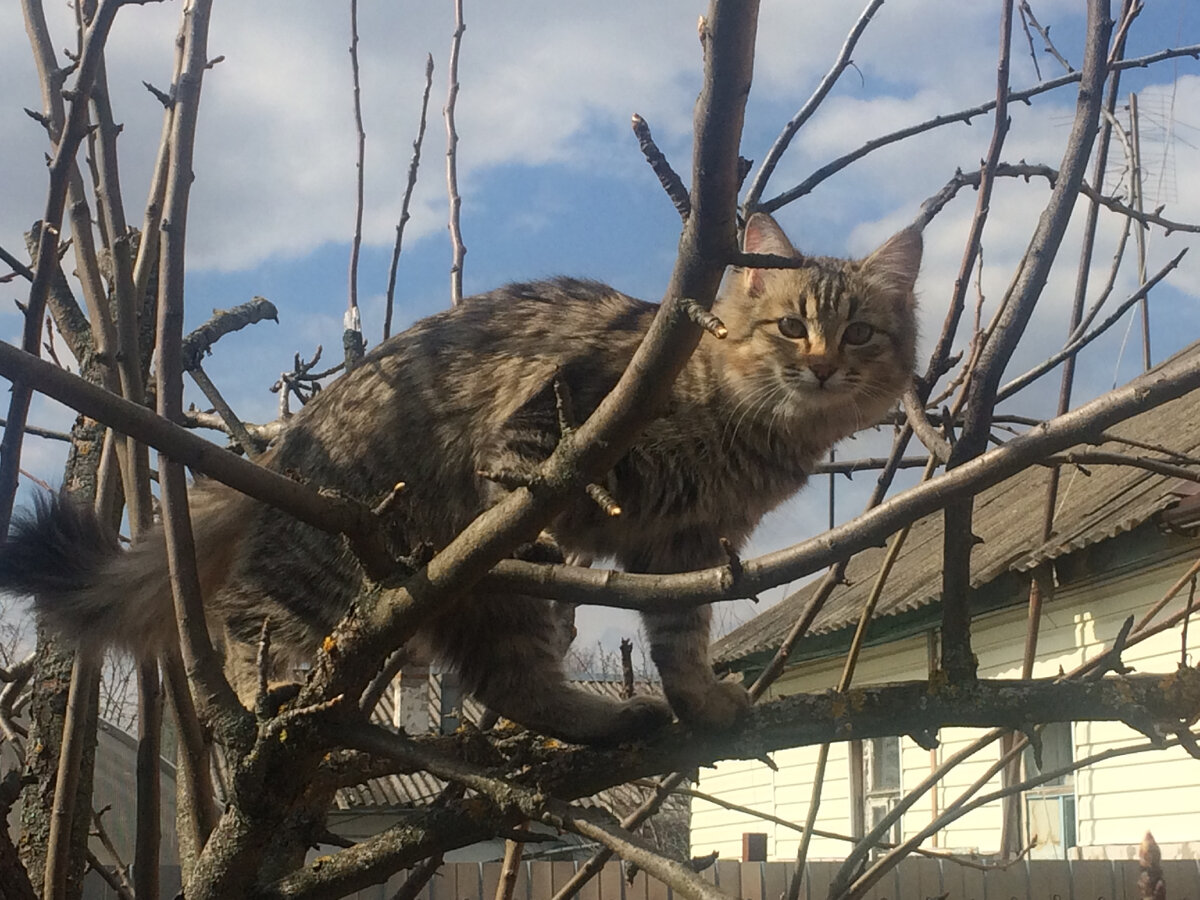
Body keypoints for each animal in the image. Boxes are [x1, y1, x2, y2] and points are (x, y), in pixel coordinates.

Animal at [0, 213, 916, 748]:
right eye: (792, 328)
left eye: (861, 334)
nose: (824, 367)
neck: (747, 430)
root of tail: (287, 440)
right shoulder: (553, 422)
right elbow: (529, 487)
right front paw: (539, 532)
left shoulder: (685, 545)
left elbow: (680, 634)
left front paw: (697, 699)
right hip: (329, 562)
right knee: (243, 619)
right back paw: (270, 686)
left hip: (490, 615)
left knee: (515, 685)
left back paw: (604, 718)